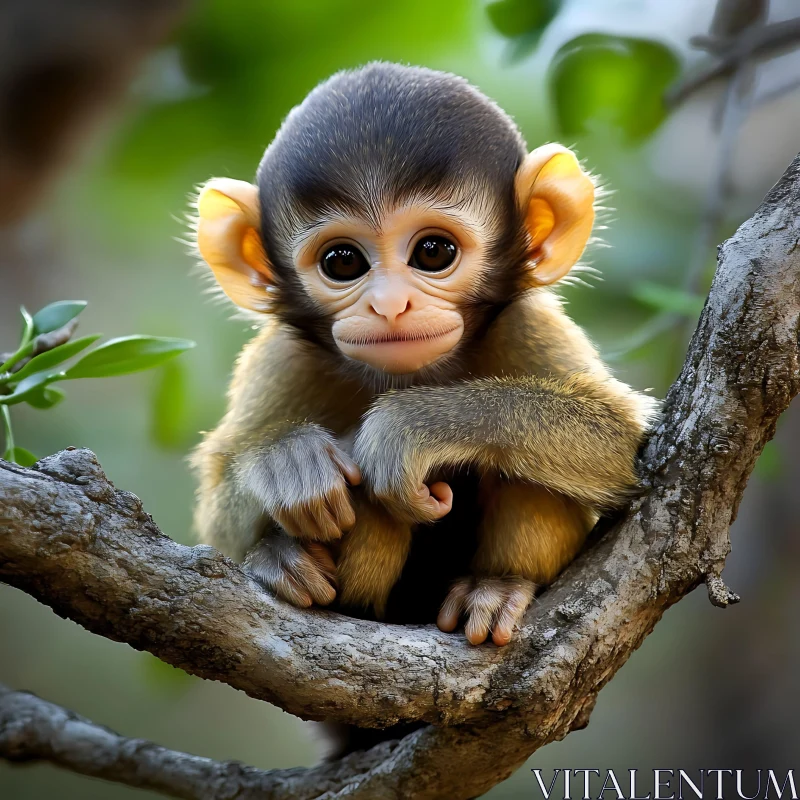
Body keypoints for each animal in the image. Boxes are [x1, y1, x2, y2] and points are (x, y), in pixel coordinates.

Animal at [189, 62, 656, 648]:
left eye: (434, 252)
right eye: (342, 262)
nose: (390, 305)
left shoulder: (525, 323)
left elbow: (619, 439)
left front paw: (411, 428)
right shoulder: (282, 358)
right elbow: (216, 519)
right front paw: (285, 460)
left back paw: (498, 585)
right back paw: (284, 561)